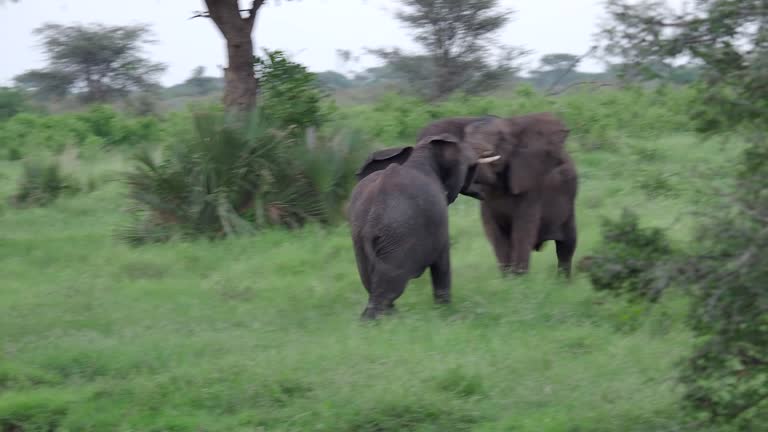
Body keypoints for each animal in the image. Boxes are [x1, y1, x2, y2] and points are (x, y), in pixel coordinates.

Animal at [346, 133, 498, 318]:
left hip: (359, 239)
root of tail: (372, 219)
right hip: (396, 237)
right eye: (460, 145)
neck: (421, 153)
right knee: (390, 287)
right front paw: (445, 311)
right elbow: (442, 262)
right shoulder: (439, 218)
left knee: (371, 282)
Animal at [420, 112, 576, 276]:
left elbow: (522, 232)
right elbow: (495, 233)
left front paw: (519, 278)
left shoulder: (531, 188)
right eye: (465, 138)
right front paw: (508, 277)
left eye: (502, 139)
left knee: (566, 246)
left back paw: (562, 279)